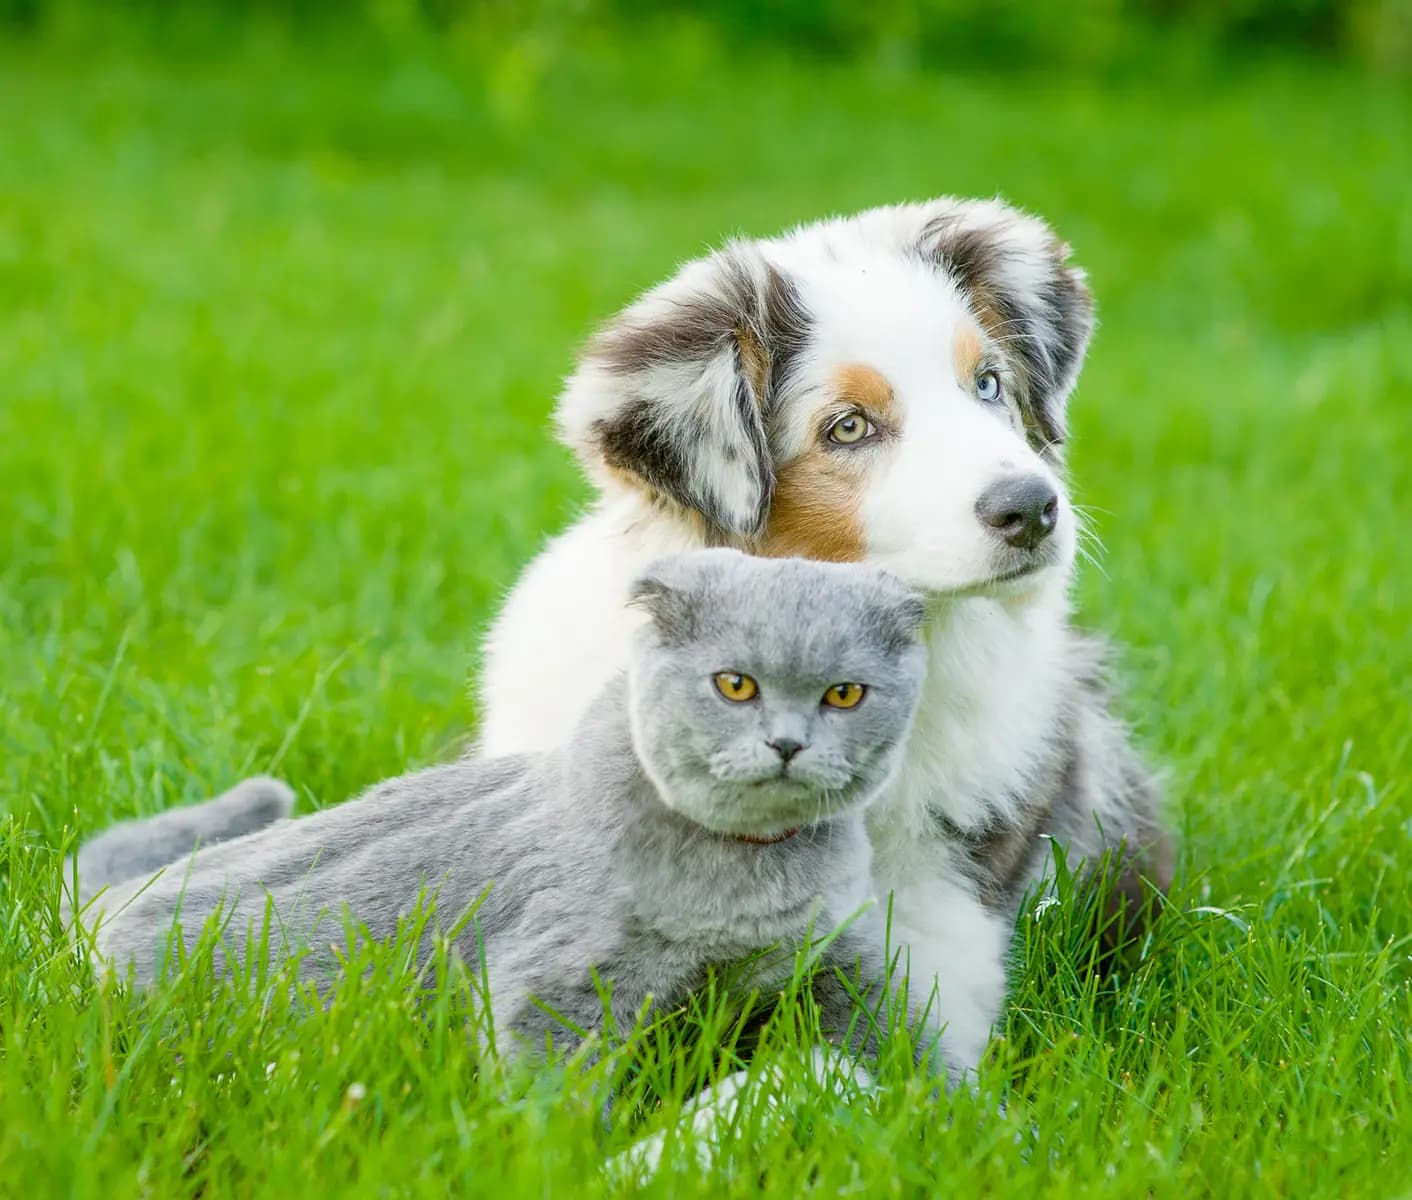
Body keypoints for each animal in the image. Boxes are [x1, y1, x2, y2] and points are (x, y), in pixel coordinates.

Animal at [77, 547, 948, 1072]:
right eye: (735, 685)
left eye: (845, 695)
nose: (788, 743)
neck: (755, 881)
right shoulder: (564, 979)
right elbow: (550, 1089)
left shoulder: (841, 956)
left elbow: (894, 1039)